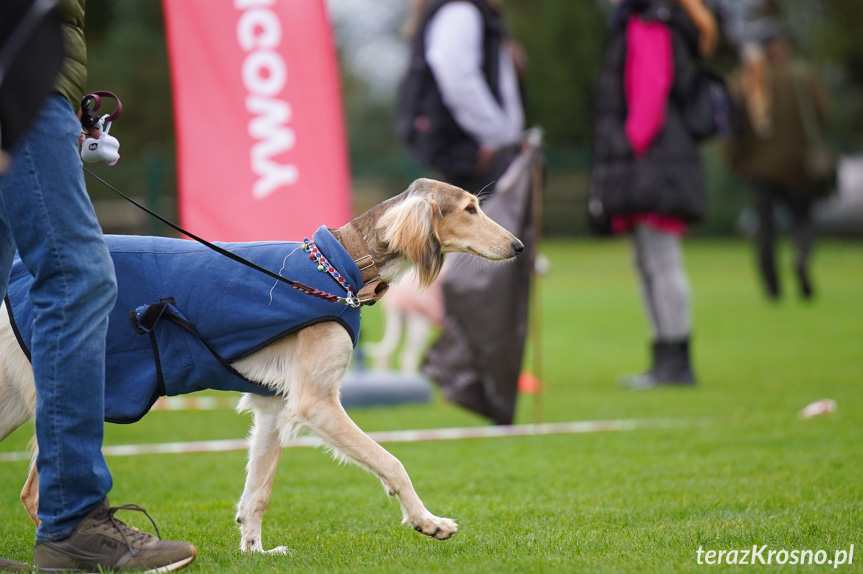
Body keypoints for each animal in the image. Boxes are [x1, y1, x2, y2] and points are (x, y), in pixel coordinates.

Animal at [0, 179, 520, 552]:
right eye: (469, 209)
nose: (518, 247)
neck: (340, 266)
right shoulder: (315, 403)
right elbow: (392, 462)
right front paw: (427, 521)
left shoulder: (274, 406)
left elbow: (258, 492)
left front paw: (254, 551)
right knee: (37, 494)